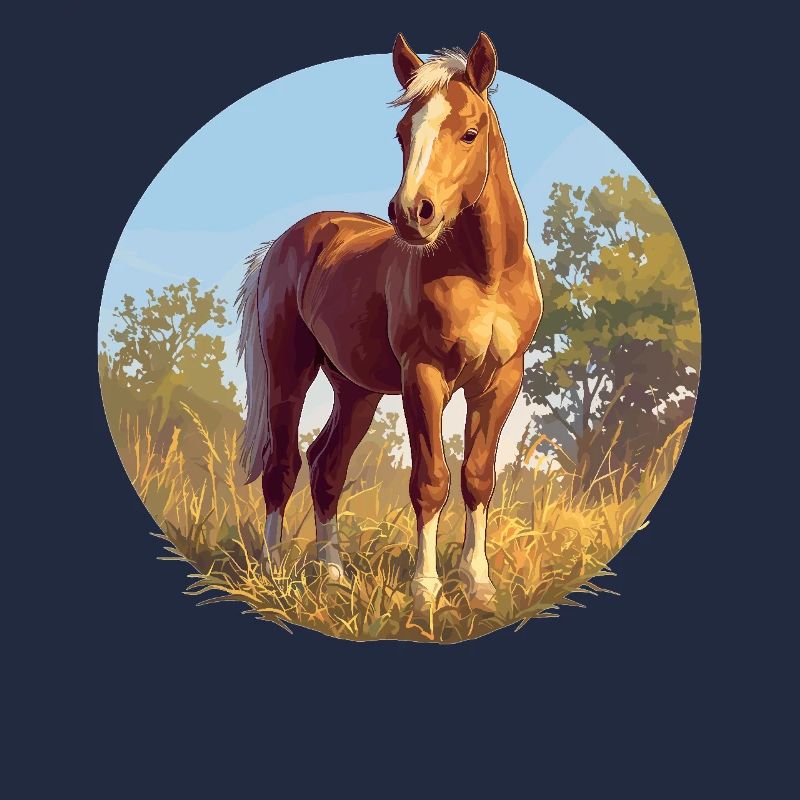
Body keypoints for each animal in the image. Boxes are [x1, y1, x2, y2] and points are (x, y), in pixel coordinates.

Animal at [237, 32, 542, 609]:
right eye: (402, 133)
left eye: (470, 133)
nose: (411, 214)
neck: (485, 274)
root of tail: (289, 241)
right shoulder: (423, 376)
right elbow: (430, 480)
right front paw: (425, 591)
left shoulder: (500, 381)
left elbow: (476, 476)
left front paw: (478, 585)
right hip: (291, 375)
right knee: (282, 466)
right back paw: (273, 573)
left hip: (356, 390)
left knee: (326, 468)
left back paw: (333, 576)